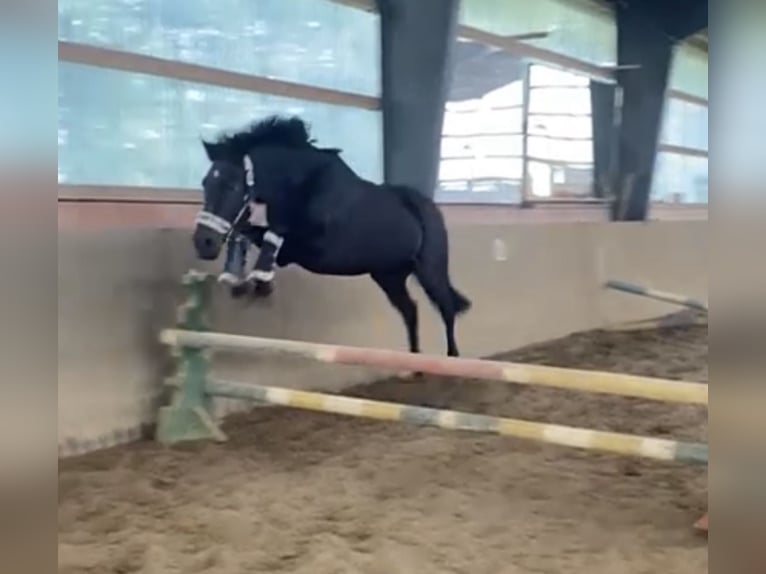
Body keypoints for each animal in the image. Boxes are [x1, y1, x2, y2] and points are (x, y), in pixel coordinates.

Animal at [192, 115, 471, 357]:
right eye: (205, 183)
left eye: (232, 186)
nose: (203, 243)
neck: (303, 184)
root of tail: (428, 206)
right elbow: (249, 233)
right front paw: (239, 281)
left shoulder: (311, 245)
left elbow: (273, 234)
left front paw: (260, 280)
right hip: (388, 276)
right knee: (410, 310)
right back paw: (415, 364)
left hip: (429, 270)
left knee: (446, 307)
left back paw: (452, 358)